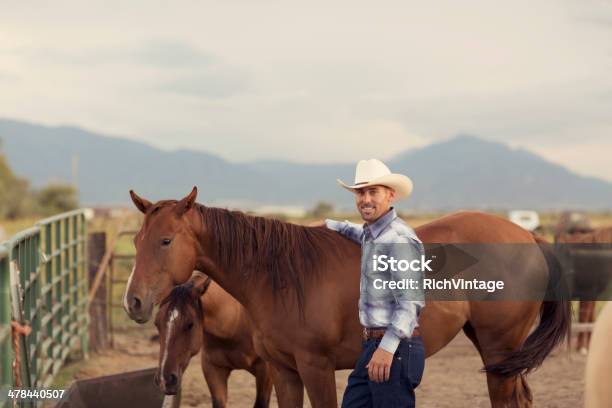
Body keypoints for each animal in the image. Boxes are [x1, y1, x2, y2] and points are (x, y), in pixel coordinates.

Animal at [154, 270, 272, 406]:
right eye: (156, 324)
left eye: (190, 324)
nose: (165, 380)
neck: (236, 321)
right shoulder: (213, 368)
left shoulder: (266, 371)